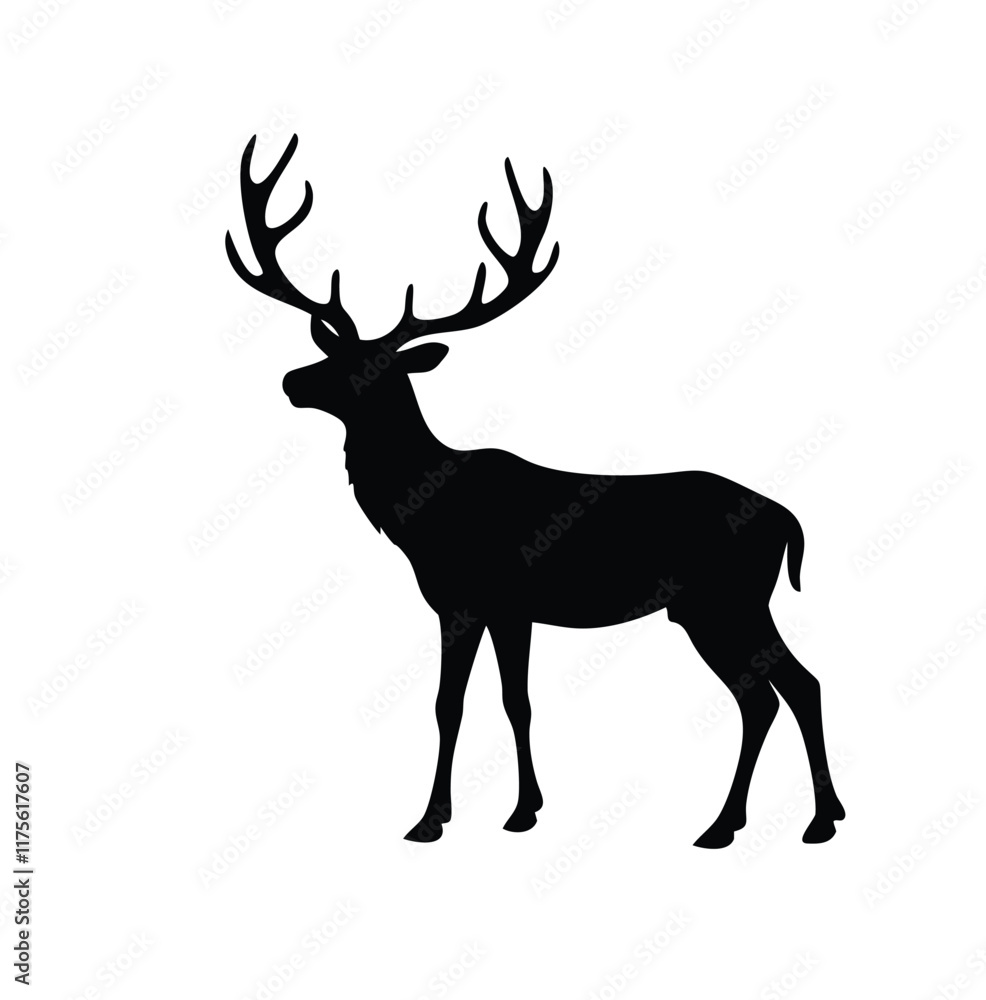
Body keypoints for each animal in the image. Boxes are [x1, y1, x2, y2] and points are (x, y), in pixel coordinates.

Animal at [226, 134, 845, 847]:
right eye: (333, 353)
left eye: (377, 366)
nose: (292, 380)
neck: (423, 515)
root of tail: (789, 521)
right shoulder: (486, 607)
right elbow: (487, 702)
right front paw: (503, 810)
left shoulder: (482, 598)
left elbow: (476, 702)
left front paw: (451, 818)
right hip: (716, 606)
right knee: (780, 690)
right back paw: (778, 819)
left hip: (728, 598)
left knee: (781, 689)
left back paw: (774, 822)